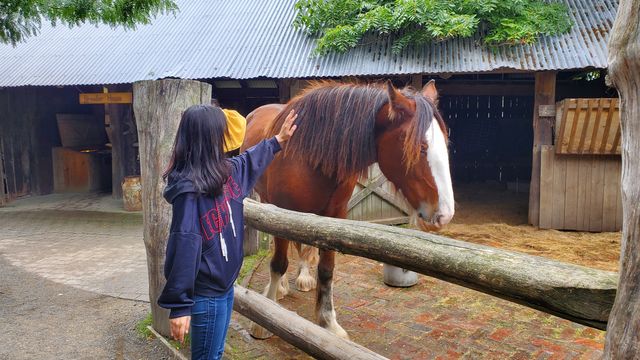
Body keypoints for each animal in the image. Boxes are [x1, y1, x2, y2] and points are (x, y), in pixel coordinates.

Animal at [241, 80, 456, 338]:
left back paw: (303, 278)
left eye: (445, 143)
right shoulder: (280, 210)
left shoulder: (334, 216)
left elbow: (326, 269)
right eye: (420, 147)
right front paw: (266, 315)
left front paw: (328, 322)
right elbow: (278, 263)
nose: (444, 214)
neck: (309, 157)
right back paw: (281, 288)